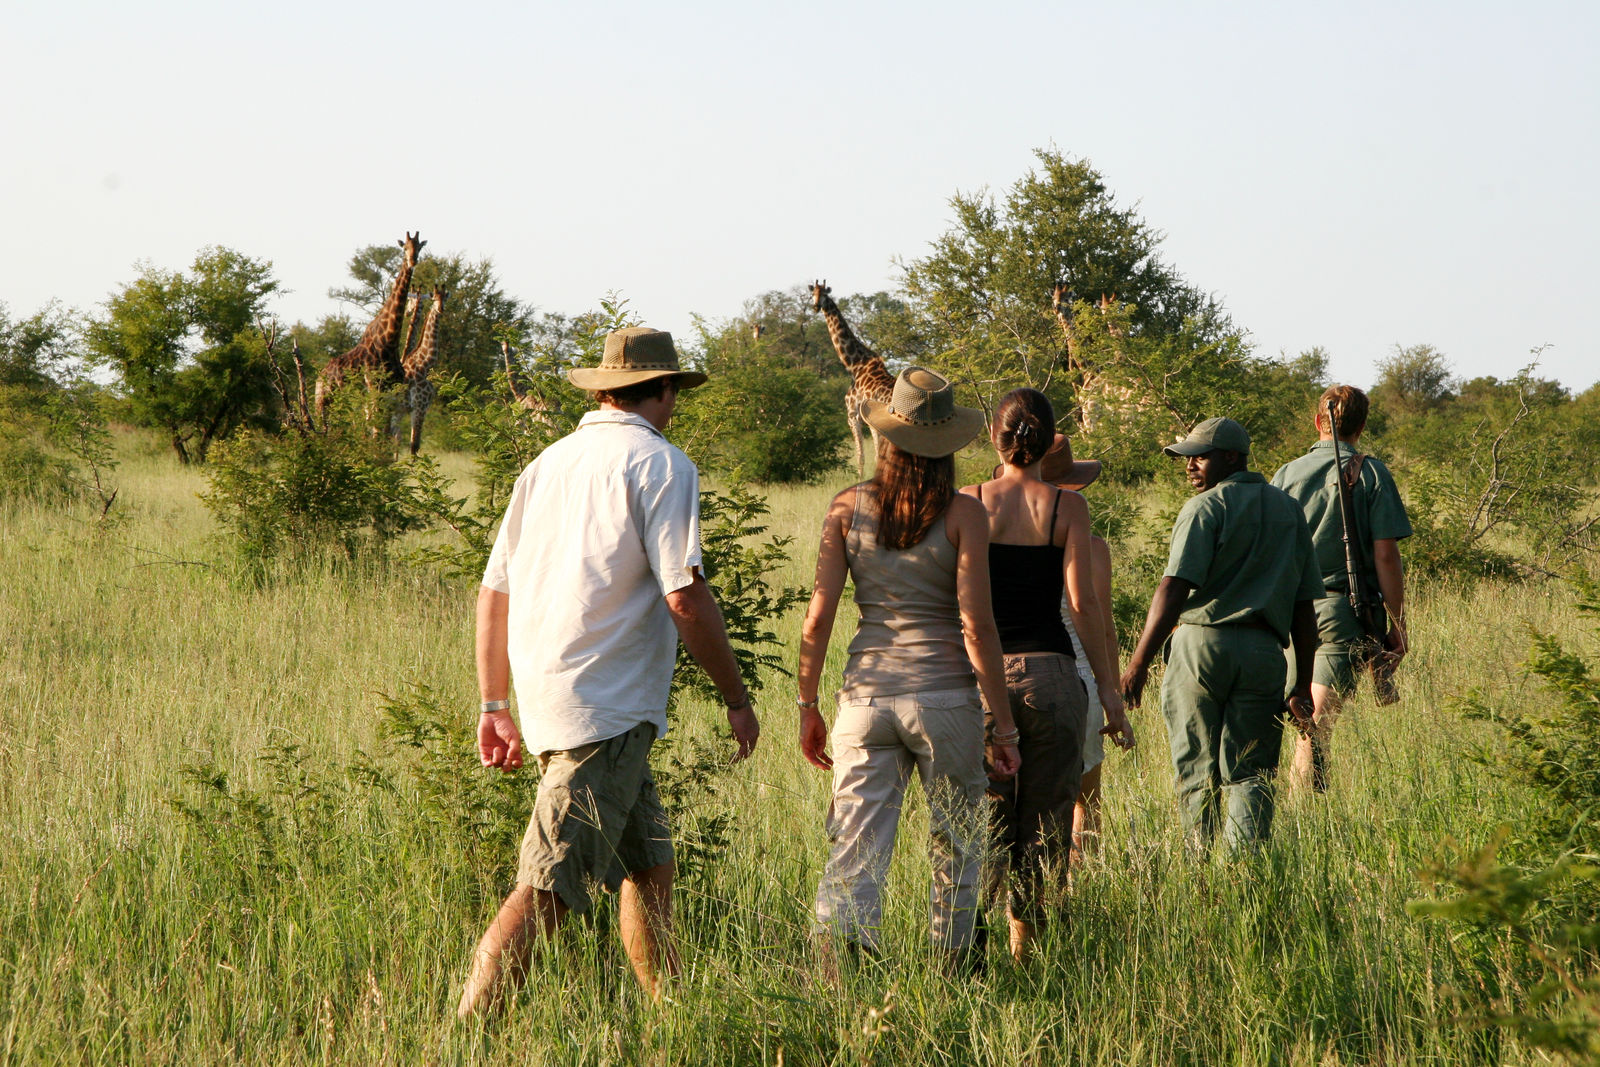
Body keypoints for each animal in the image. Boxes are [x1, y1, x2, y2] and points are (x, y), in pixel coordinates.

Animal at [312, 231, 422, 428]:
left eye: (419, 248)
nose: (412, 260)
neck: (390, 340)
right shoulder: (374, 389)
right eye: (404, 248)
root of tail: (319, 378)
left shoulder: (390, 392)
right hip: (324, 399)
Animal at [403, 287, 448, 454]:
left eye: (446, 298)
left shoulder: (421, 408)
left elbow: (414, 445)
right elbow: (413, 445)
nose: (406, 312)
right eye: (434, 299)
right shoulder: (418, 407)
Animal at [806, 279, 896, 476]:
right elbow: (872, 456)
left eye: (825, 294)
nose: (816, 306)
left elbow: (862, 457)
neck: (854, 365)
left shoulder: (853, 415)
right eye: (812, 294)